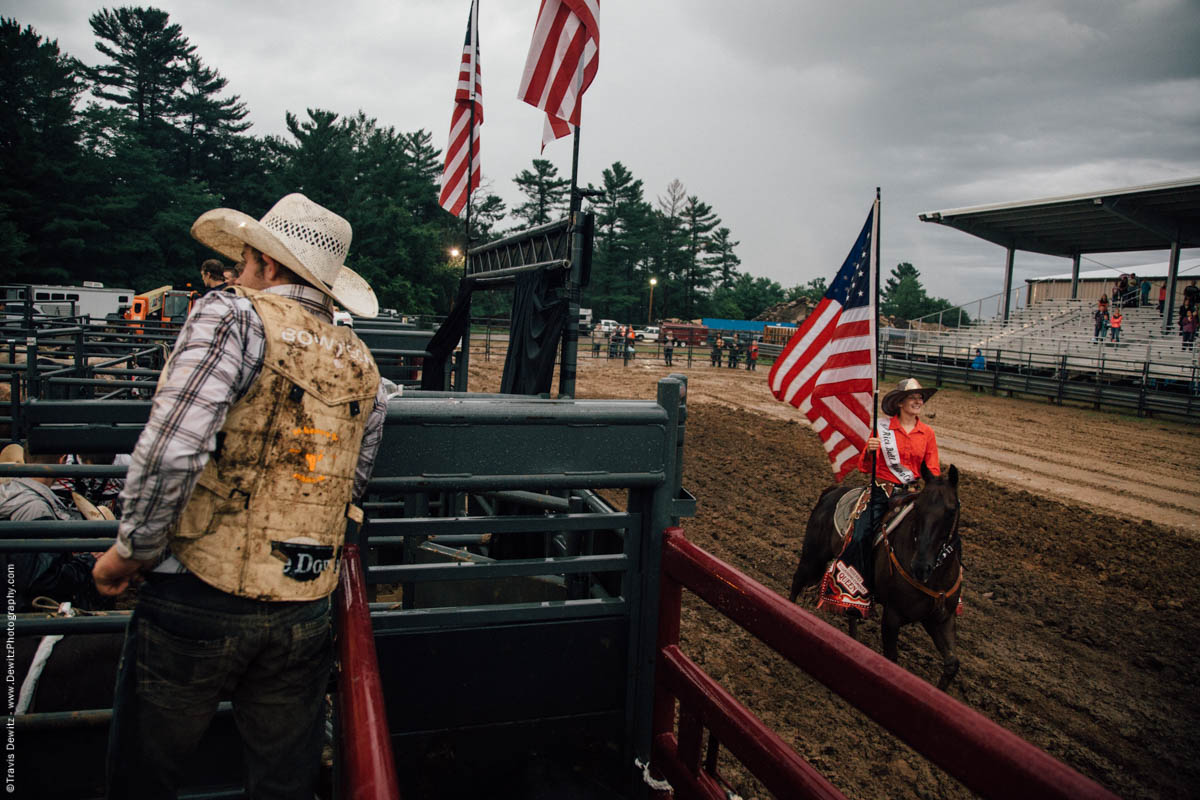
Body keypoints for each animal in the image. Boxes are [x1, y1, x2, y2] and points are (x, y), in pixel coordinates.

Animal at [787, 465, 964, 690]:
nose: (920, 566)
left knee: (852, 611)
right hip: (813, 557)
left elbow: (952, 663)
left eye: (951, 511)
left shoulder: (941, 619)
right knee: (797, 582)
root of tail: (832, 492)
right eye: (918, 508)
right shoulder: (892, 616)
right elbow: (892, 661)